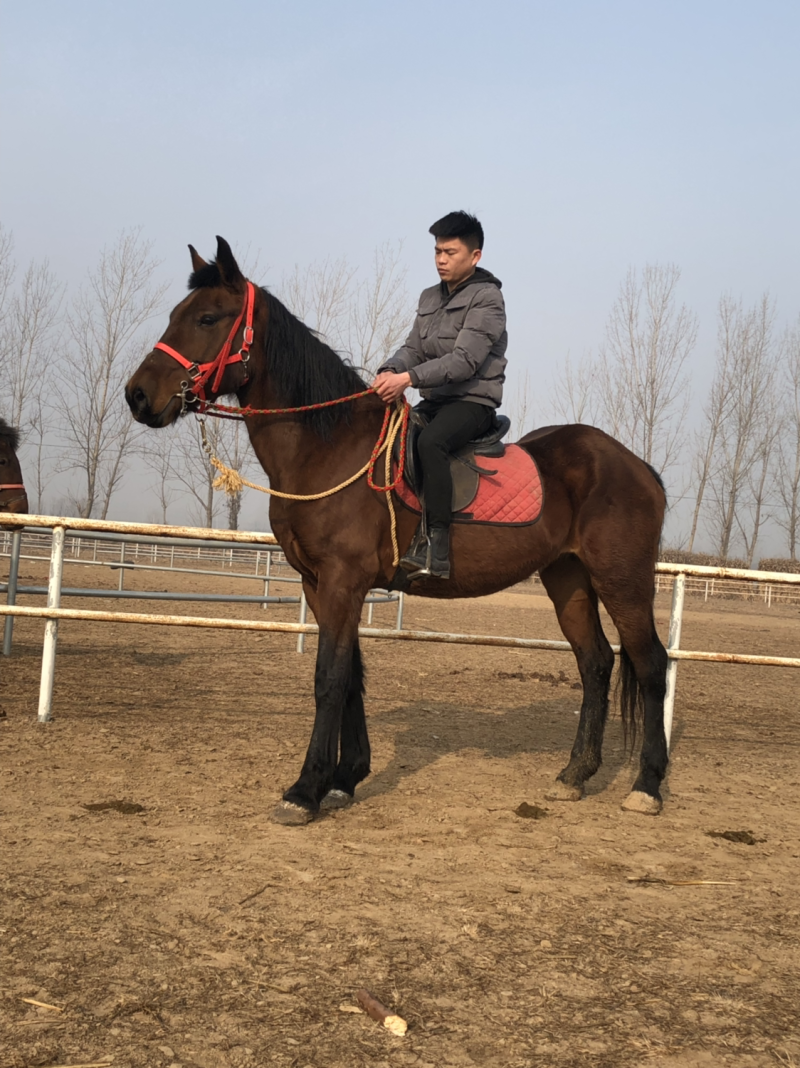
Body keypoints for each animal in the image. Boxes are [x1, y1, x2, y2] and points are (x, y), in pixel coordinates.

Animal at [126, 237, 669, 826]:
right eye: (176, 314)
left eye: (207, 317)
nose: (137, 396)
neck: (328, 448)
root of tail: (638, 467)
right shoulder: (320, 584)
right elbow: (352, 677)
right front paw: (345, 778)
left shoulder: (342, 581)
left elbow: (329, 678)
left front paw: (305, 790)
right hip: (567, 578)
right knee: (596, 663)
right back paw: (575, 774)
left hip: (622, 580)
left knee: (651, 664)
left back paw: (647, 784)